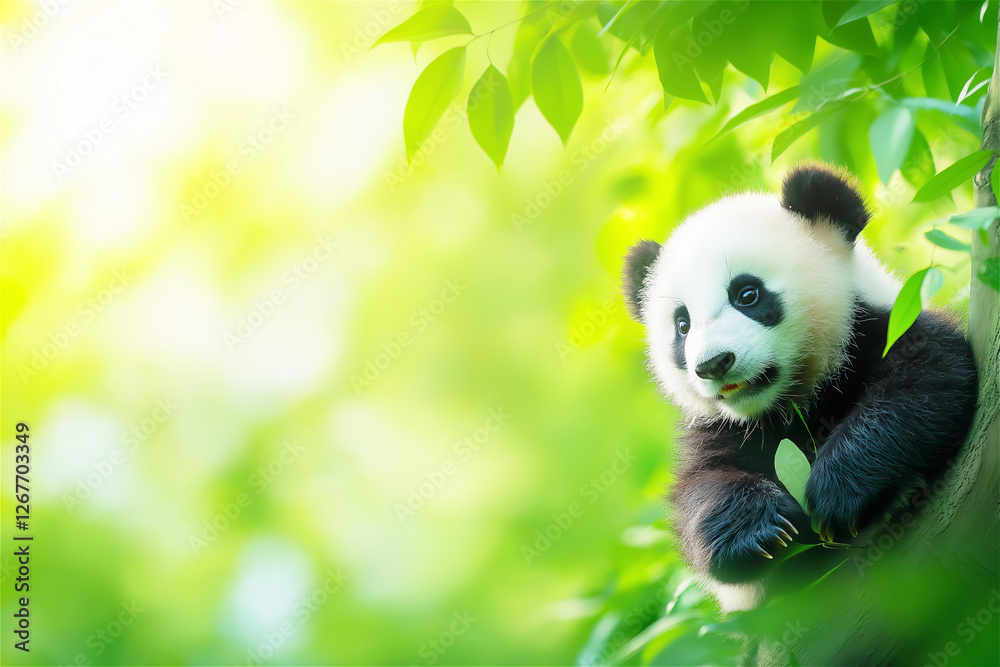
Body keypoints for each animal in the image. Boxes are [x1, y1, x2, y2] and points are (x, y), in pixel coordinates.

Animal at [622, 164, 978, 611]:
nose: (713, 364)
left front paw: (837, 491)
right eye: (682, 325)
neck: (795, 400)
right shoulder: (722, 428)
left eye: (747, 294)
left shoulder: (889, 333)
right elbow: (700, 488)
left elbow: (924, 389)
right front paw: (757, 531)